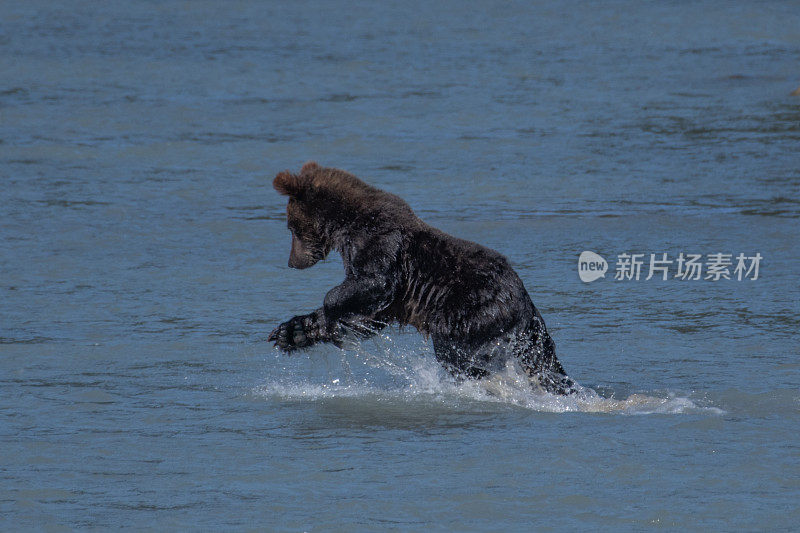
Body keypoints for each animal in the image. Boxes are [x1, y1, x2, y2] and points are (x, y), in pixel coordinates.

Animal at [268, 162, 576, 394]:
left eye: (290, 227)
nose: (291, 262)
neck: (346, 224)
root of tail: (525, 299)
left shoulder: (382, 244)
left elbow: (372, 283)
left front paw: (329, 309)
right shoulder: (387, 296)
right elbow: (366, 317)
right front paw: (290, 332)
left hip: (473, 308)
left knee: (455, 350)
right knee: (542, 363)